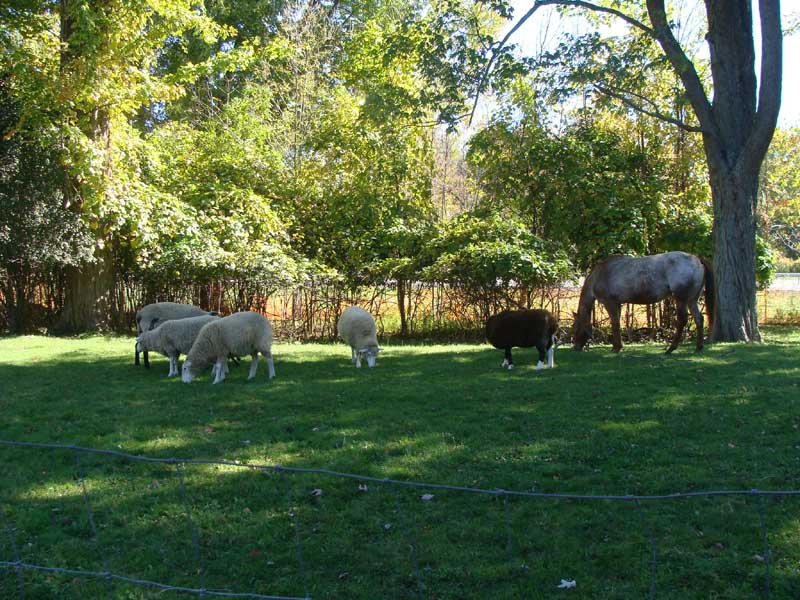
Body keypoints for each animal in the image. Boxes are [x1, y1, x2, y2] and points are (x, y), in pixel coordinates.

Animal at [572, 251, 716, 354]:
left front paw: (616, 348)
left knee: (682, 321)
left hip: (681, 299)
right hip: (692, 300)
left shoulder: (610, 303)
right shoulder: (618, 304)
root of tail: (696, 259)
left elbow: (615, 323)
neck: (600, 274)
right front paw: (618, 346)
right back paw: (698, 347)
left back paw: (671, 348)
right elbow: (617, 323)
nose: (575, 347)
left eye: (576, 326)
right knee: (699, 319)